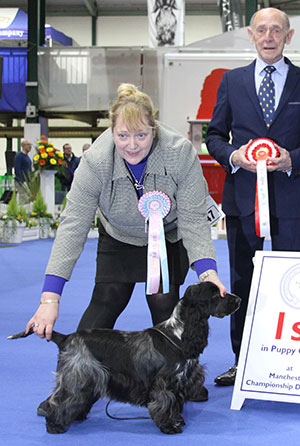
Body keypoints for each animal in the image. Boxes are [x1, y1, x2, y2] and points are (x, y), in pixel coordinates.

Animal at [8, 282, 240, 436]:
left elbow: (175, 404)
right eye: (216, 294)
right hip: (79, 377)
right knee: (61, 400)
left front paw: (178, 421)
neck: (179, 334)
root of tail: (66, 338)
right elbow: (165, 404)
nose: (238, 298)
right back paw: (55, 425)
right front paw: (170, 426)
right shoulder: (164, 384)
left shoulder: (179, 382)